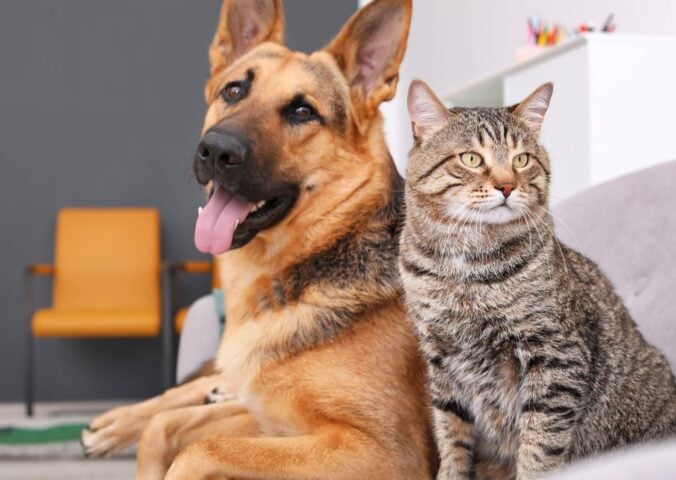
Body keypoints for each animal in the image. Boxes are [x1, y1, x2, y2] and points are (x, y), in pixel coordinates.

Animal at [80, 0, 434, 476]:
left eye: (303, 112)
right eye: (233, 91)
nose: (216, 151)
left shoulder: (386, 453)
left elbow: (196, 449)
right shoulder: (269, 418)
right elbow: (163, 429)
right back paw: (112, 424)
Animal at [398, 80, 676, 478]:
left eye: (521, 160)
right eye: (471, 159)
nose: (506, 186)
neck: (465, 270)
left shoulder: (554, 356)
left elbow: (539, 444)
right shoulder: (441, 362)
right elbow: (451, 438)